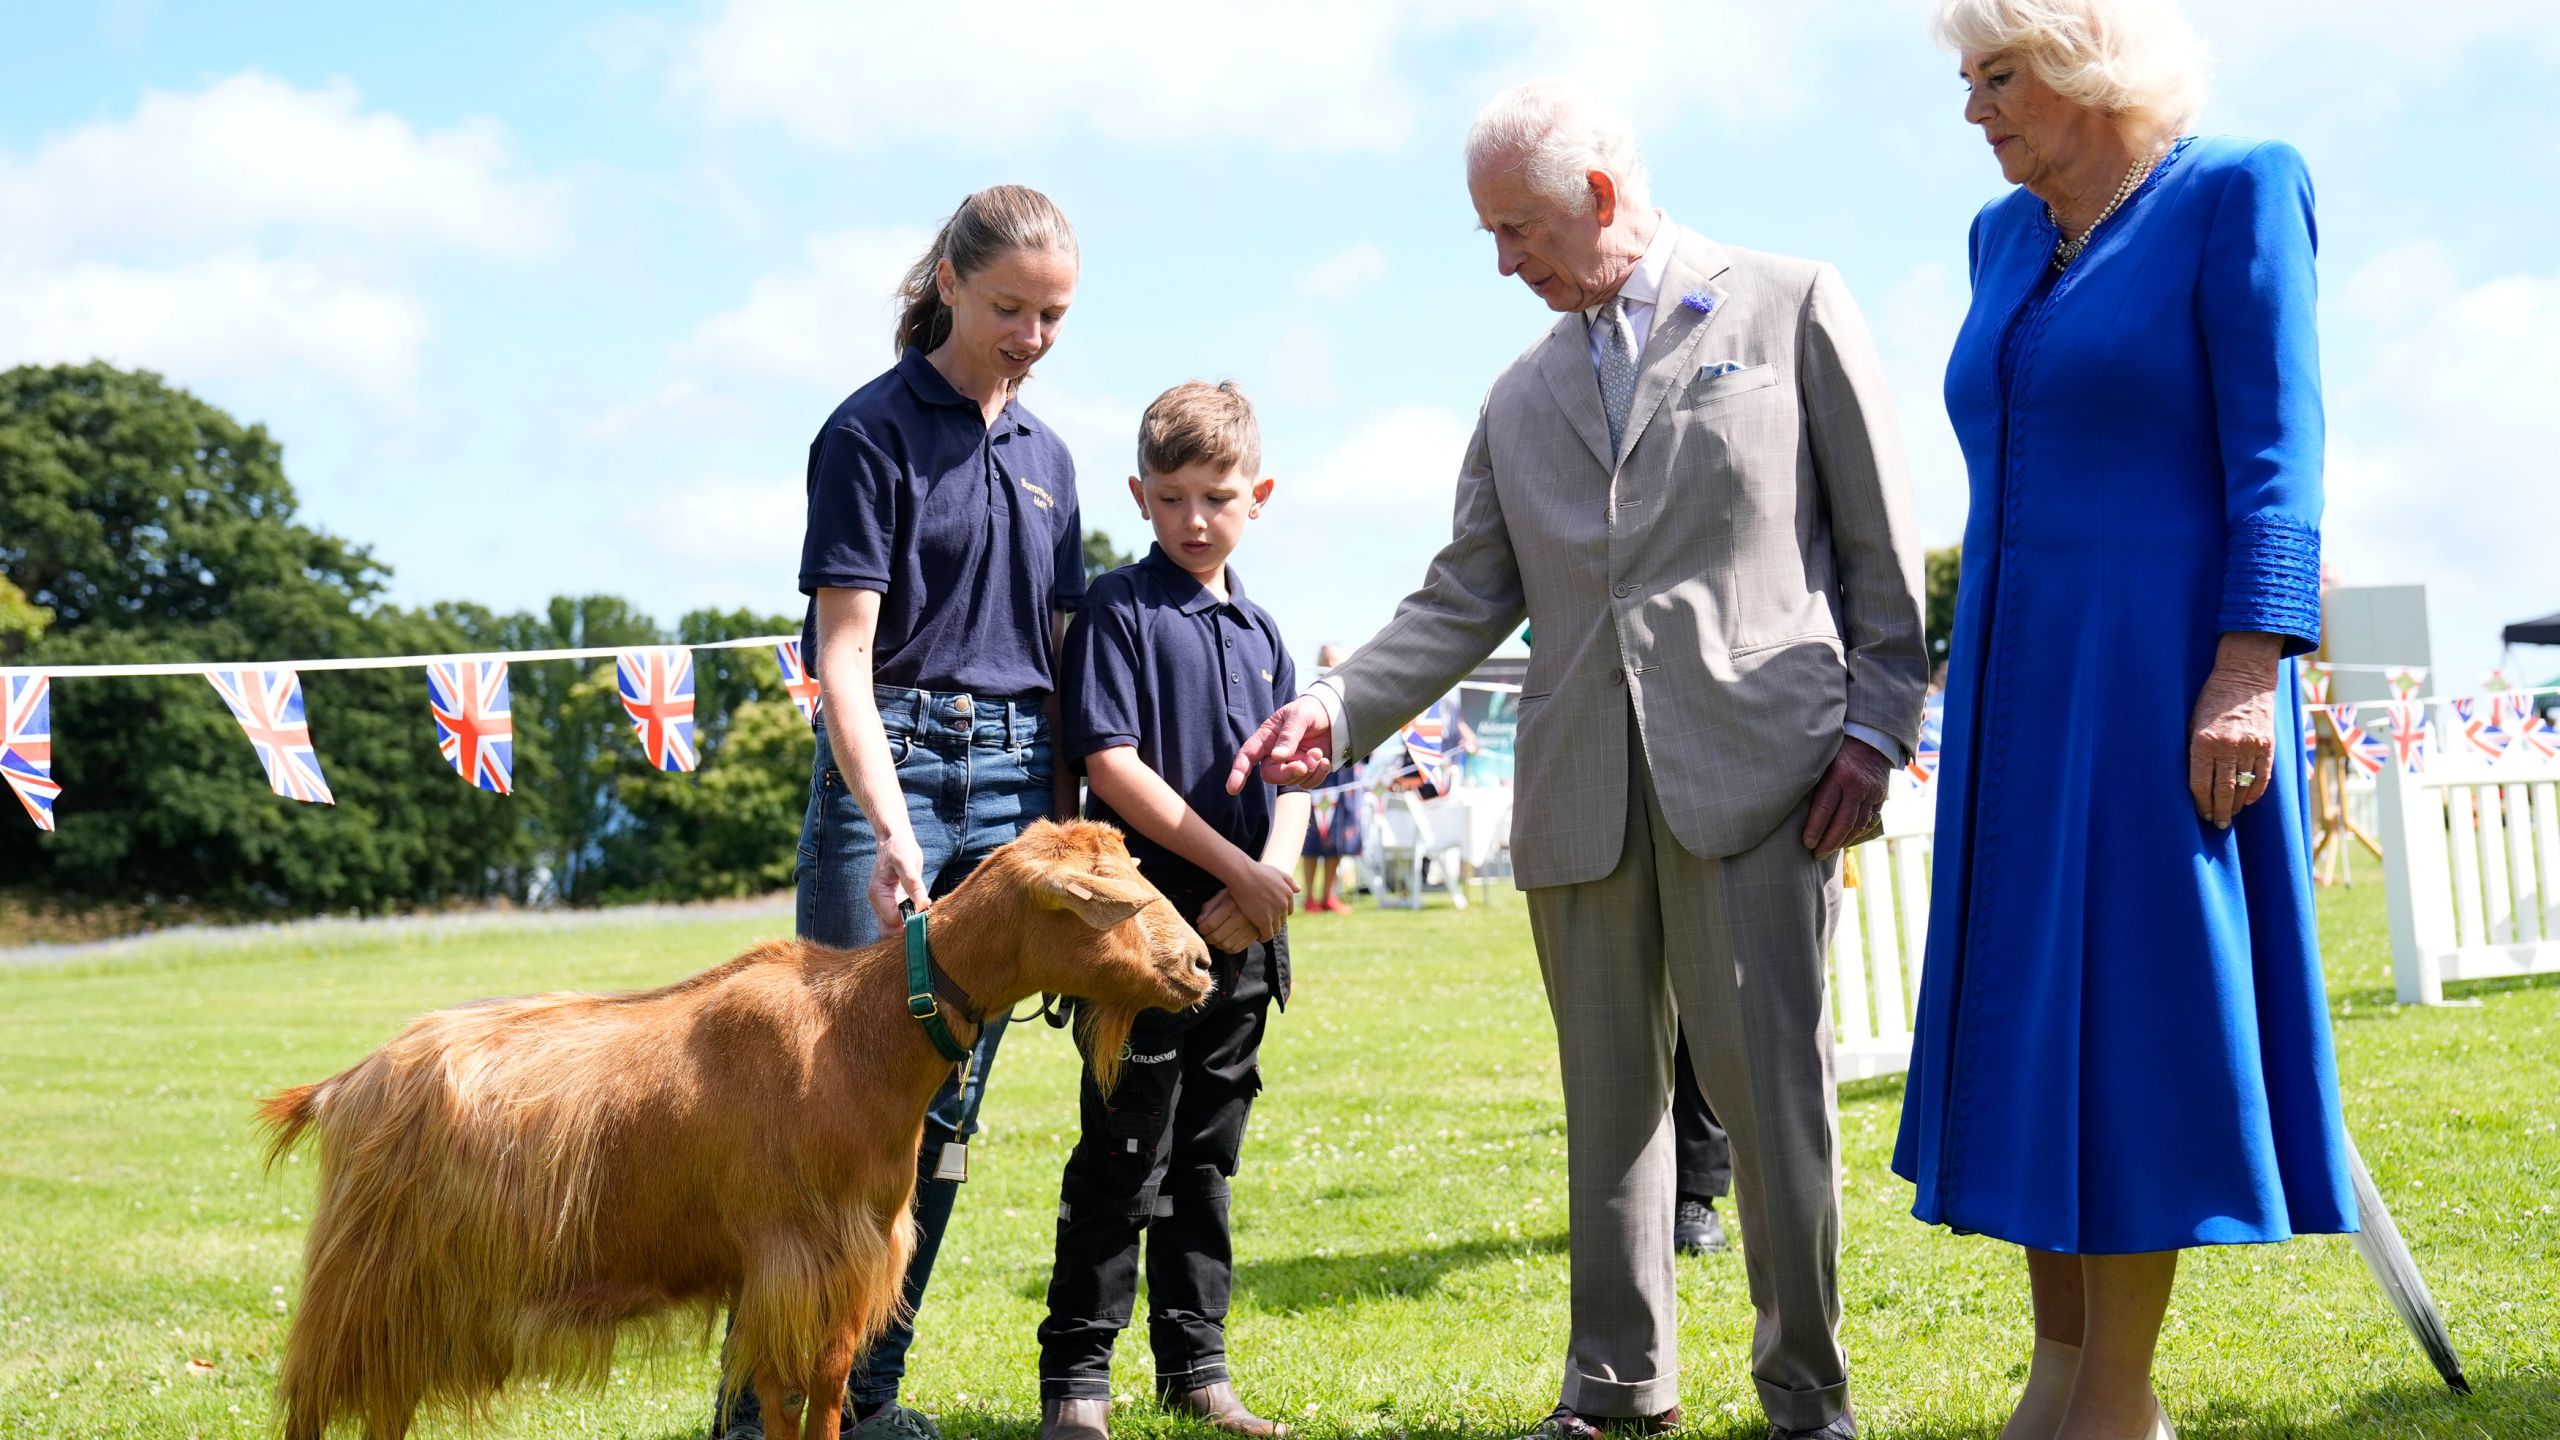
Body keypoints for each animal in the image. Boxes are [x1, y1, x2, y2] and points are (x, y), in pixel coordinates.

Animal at [262, 819, 1218, 1434]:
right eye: (1114, 901)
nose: (1203, 965)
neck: (860, 1032)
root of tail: (345, 1085)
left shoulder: (842, 1271)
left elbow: (818, 1399)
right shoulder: (791, 1266)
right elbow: (793, 1401)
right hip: (366, 1283)